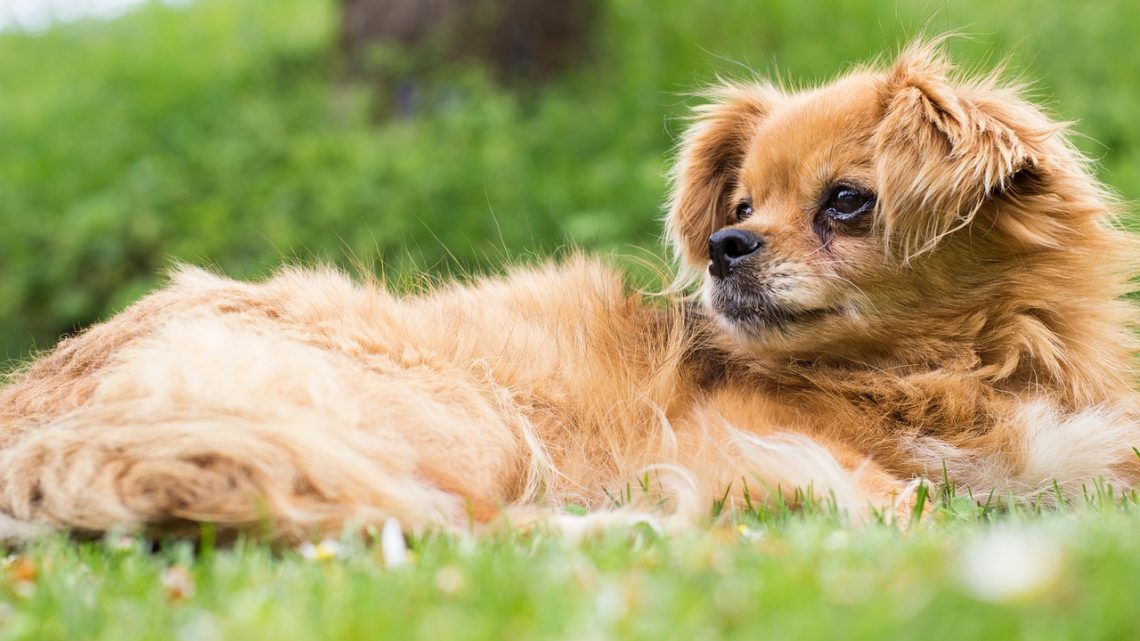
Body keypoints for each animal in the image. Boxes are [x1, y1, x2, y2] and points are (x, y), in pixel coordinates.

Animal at [0, 41, 1135, 538]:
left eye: (847, 203)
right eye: (742, 201)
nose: (724, 244)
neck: (957, 369)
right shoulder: (734, 442)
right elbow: (904, 494)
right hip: (472, 419)